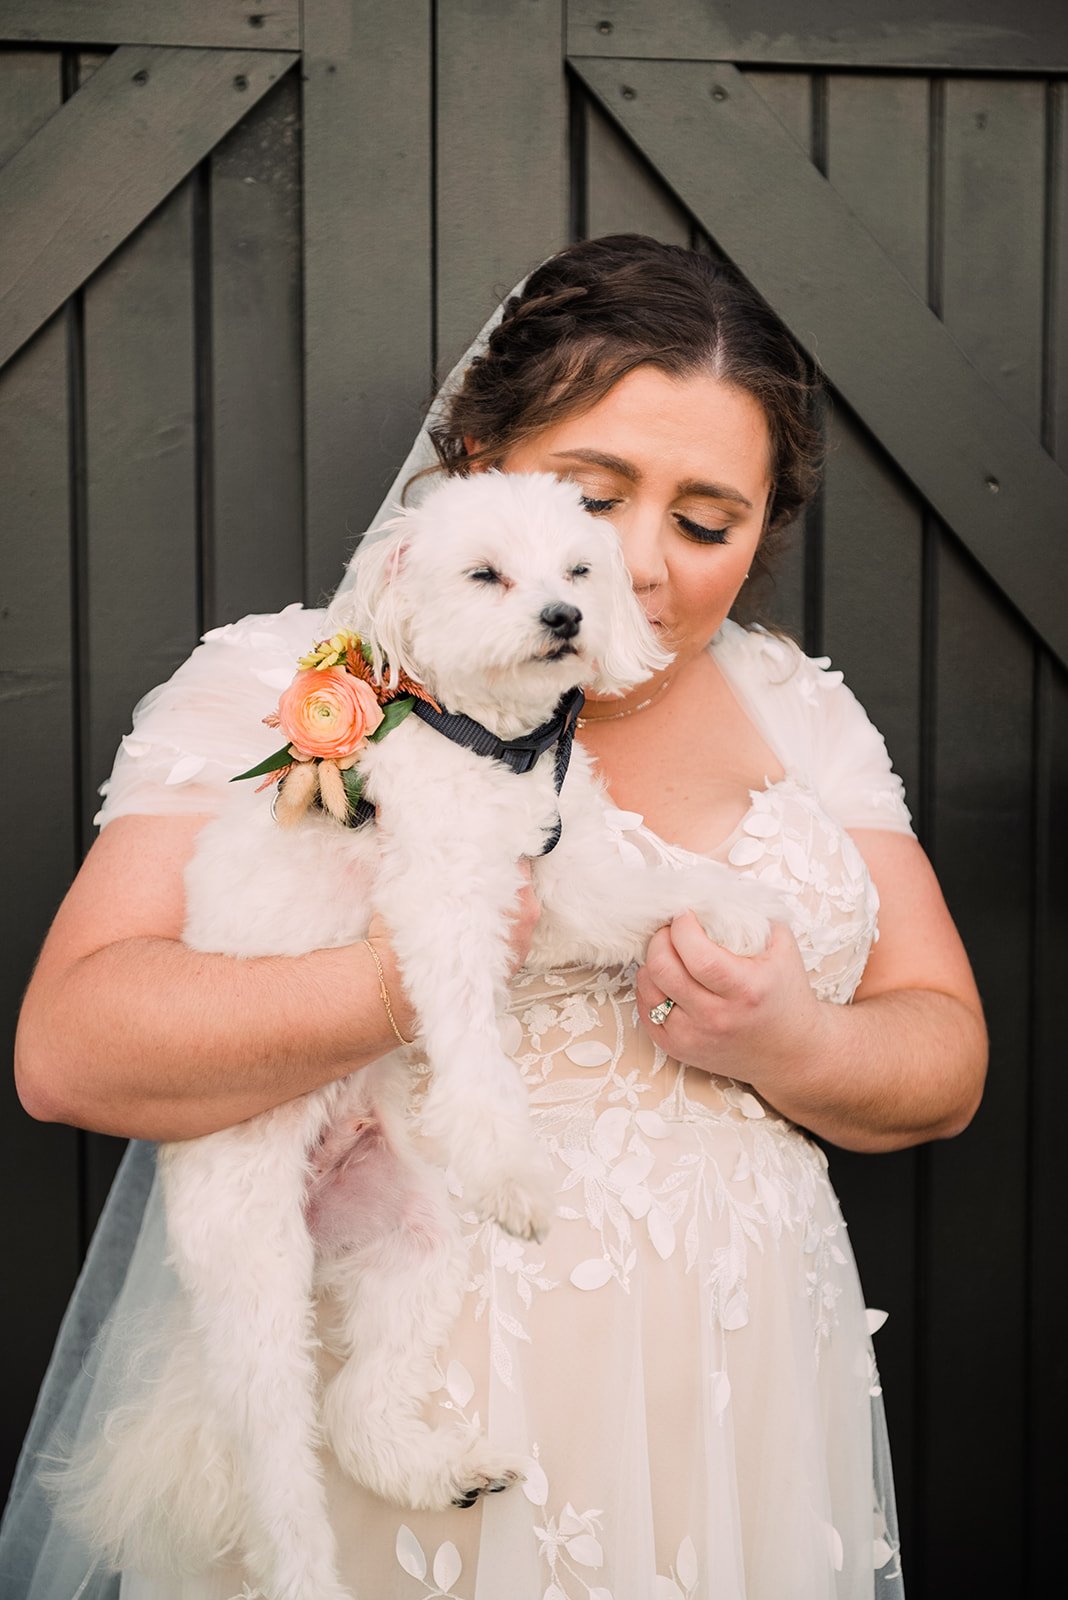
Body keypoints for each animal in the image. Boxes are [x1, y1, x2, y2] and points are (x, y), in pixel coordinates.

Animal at [70, 473, 780, 1600]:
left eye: (578, 569)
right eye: (488, 574)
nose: (565, 616)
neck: (497, 746)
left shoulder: (563, 882)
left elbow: (652, 887)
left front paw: (735, 908)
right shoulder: (444, 906)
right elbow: (471, 1049)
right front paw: (507, 1165)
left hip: (417, 1248)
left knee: (357, 1407)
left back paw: (437, 1469)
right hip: (254, 1278)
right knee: (282, 1483)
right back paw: (308, 1570)